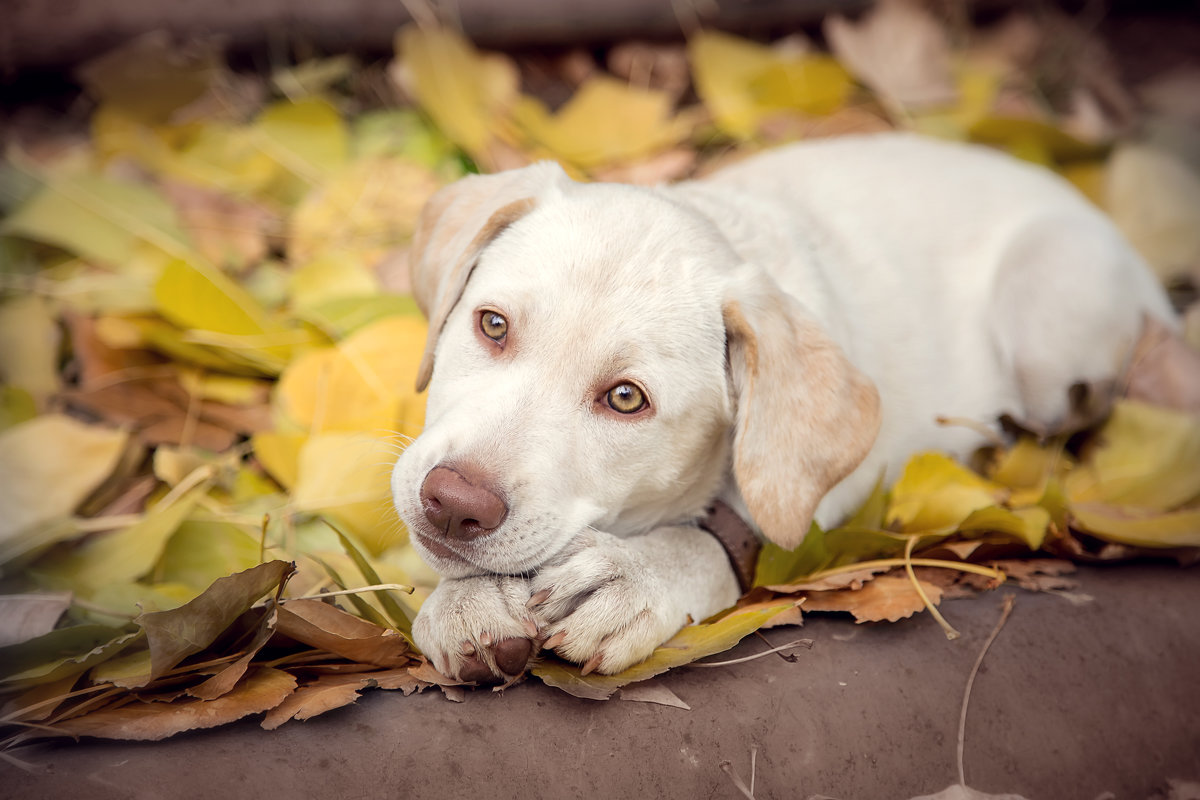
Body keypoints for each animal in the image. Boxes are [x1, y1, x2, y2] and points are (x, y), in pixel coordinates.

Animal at [391, 133, 1171, 681]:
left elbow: (724, 532)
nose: (453, 503)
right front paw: (466, 600)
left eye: (626, 400)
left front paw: (638, 573)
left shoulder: (817, 502)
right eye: (493, 325)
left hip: (1048, 318)